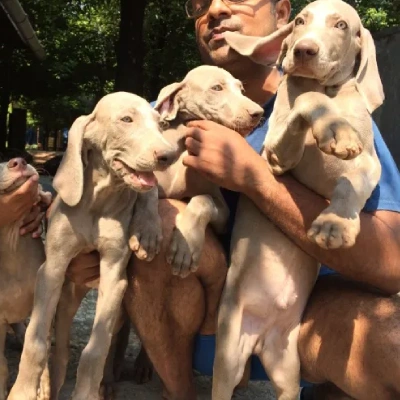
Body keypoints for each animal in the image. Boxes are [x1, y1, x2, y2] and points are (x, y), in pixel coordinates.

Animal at [8, 92, 178, 400]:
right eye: (126, 119)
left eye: (160, 124)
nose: (168, 156)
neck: (98, 202)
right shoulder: (52, 268)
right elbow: (35, 339)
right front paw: (23, 391)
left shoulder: (113, 275)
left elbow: (95, 349)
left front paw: (87, 392)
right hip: (67, 298)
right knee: (61, 350)